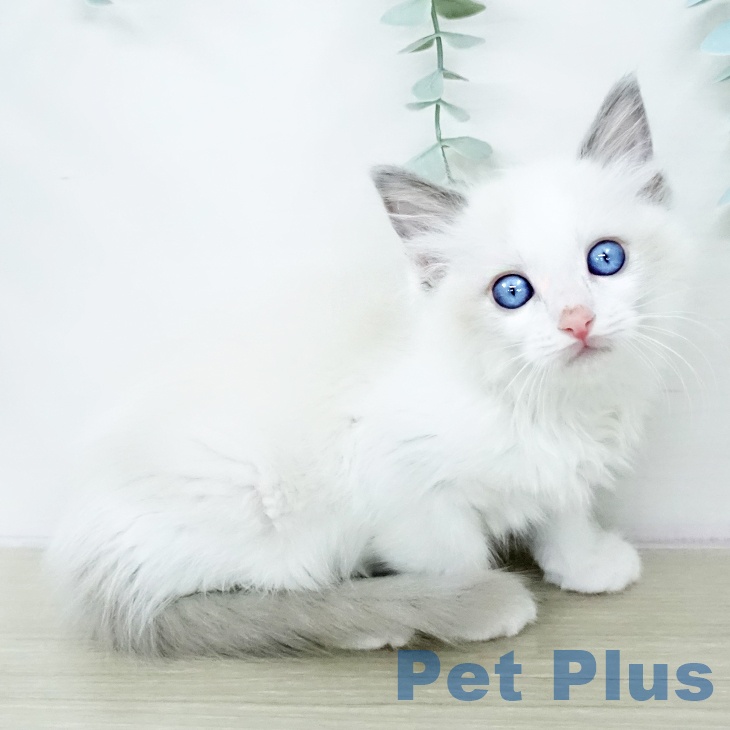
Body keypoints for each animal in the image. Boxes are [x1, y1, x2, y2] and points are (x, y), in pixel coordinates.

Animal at [46, 76, 692, 656]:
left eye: (605, 259)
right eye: (512, 292)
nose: (577, 320)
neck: (554, 407)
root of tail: (86, 566)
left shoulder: (565, 467)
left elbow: (564, 508)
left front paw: (586, 564)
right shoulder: (403, 487)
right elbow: (453, 556)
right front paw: (473, 600)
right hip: (270, 513)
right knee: (241, 598)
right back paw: (373, 621)